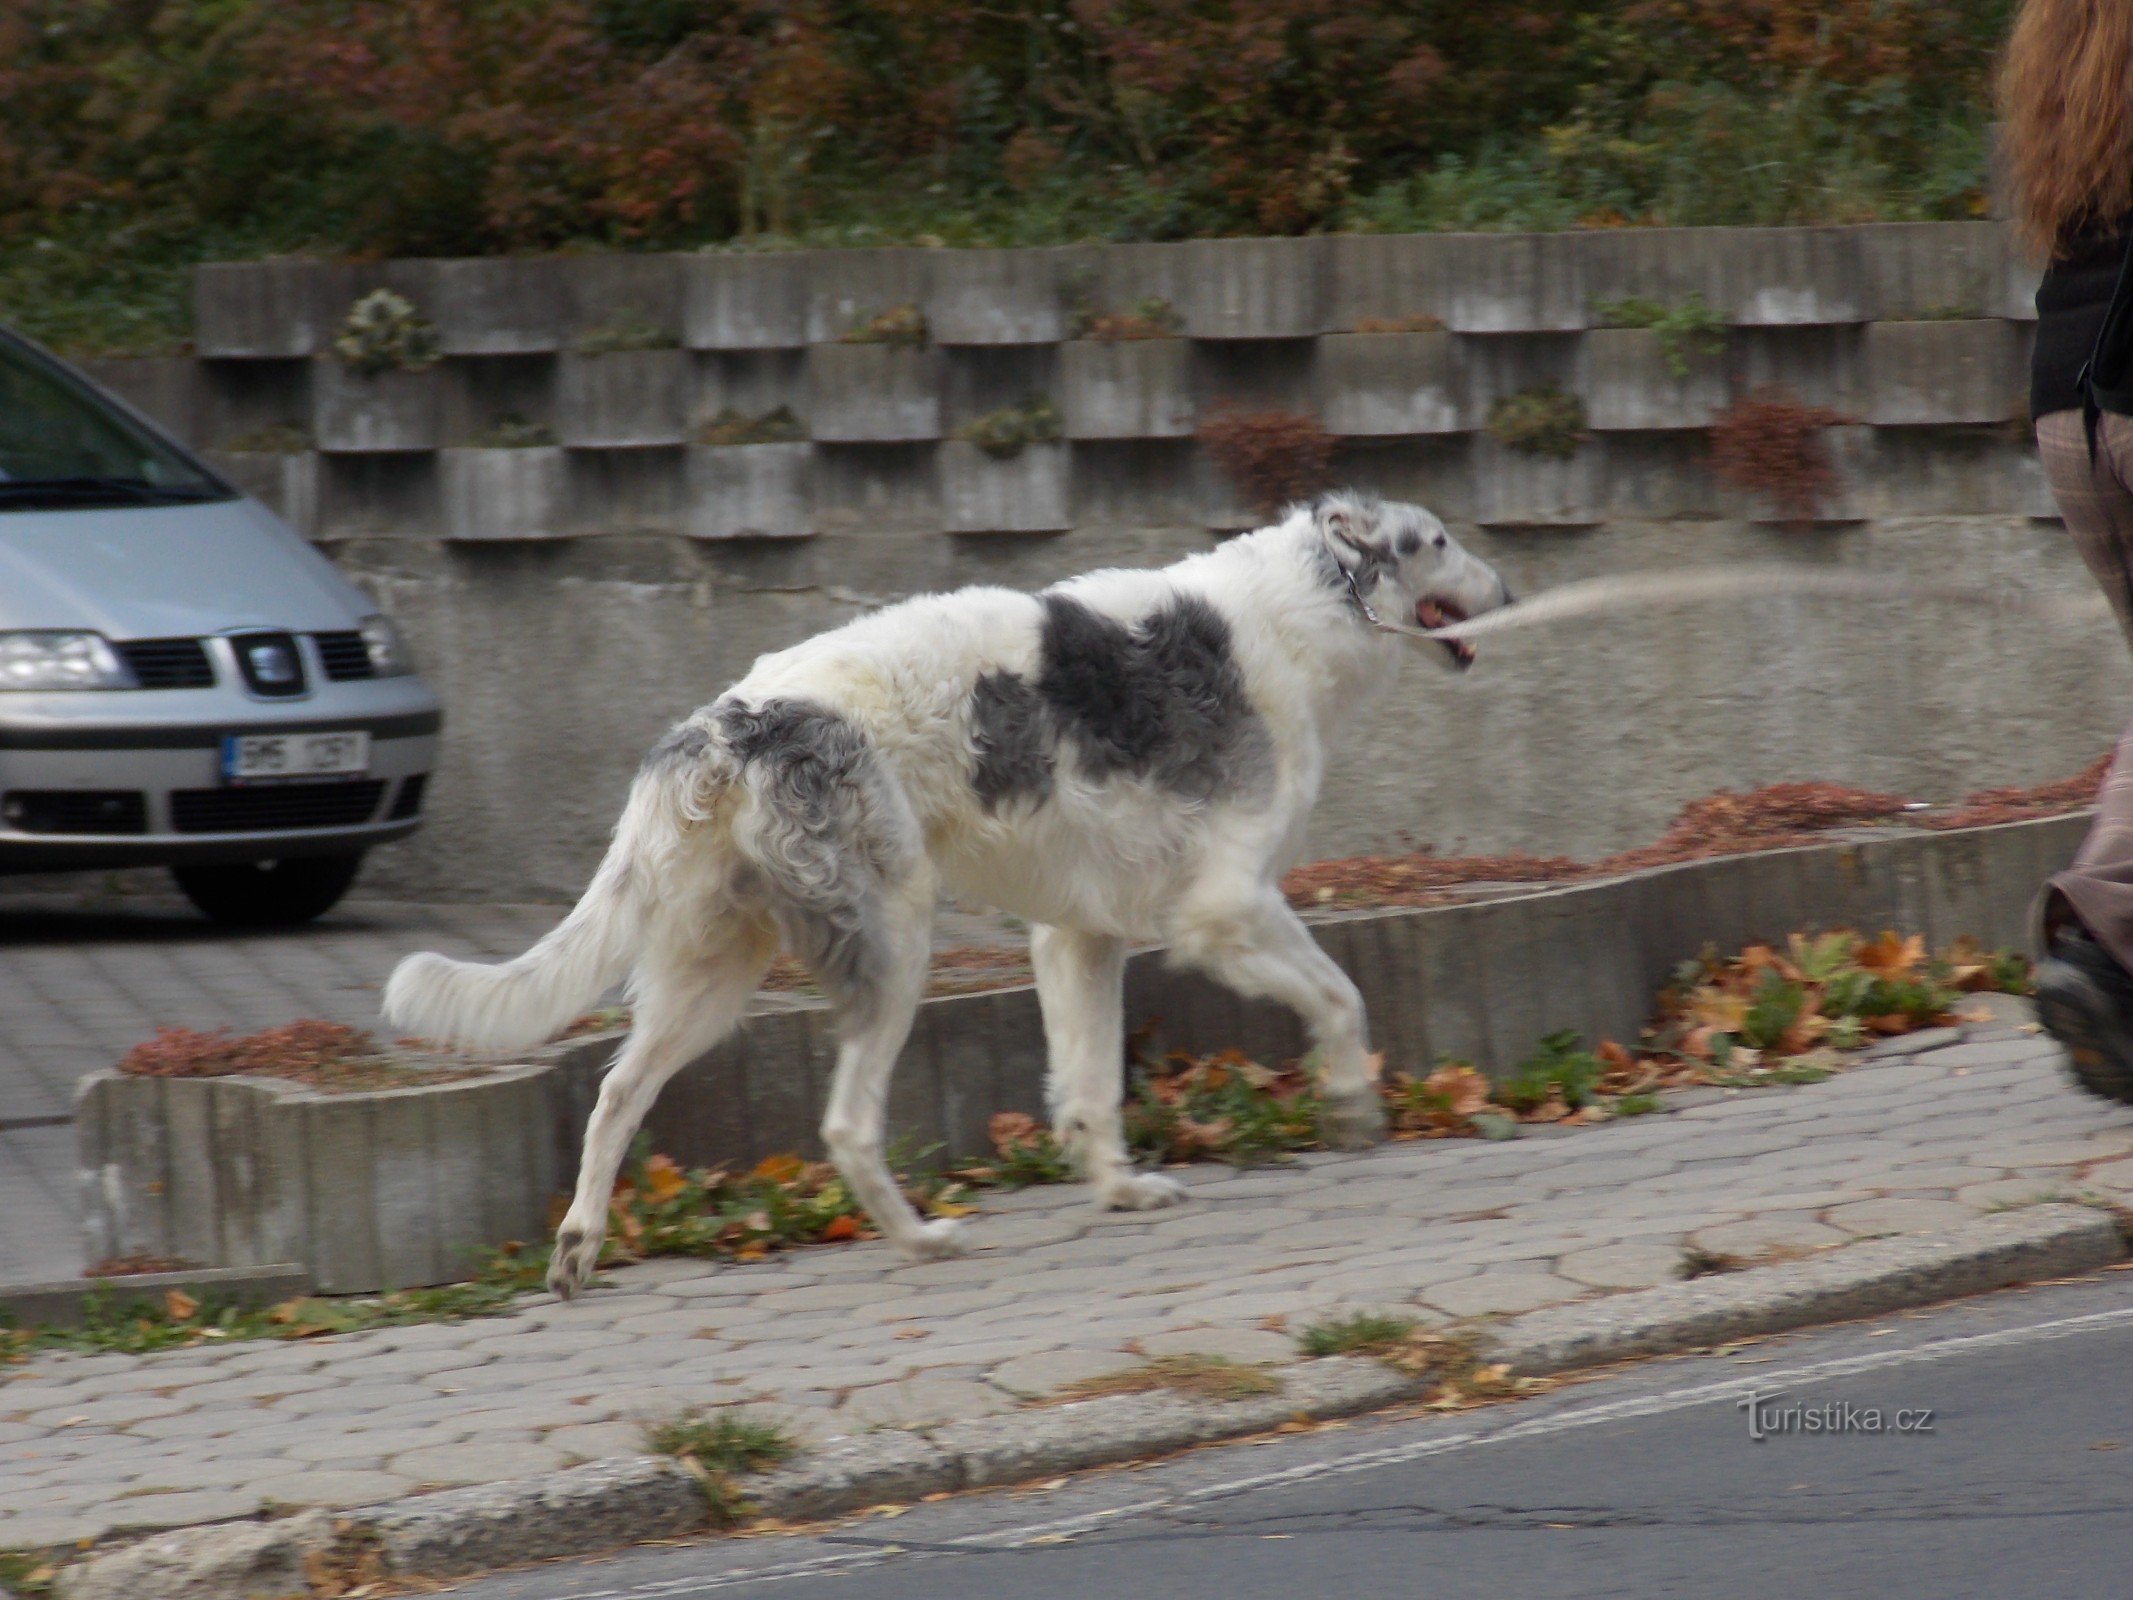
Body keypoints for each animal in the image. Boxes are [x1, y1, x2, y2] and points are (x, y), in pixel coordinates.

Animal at [388, 492, 1518, 1305]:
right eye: (1438, 540)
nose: (1512, 588)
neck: (1302, 604)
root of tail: (729, 722)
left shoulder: (1079, 936)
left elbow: (1089, 1091)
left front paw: (1120, 1189)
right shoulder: (1228, 907)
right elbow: (1342, 999)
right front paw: (1352, 1105)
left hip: (714, 974)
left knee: (617, 1095)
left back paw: (579, 1247)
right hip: (895, 947)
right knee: (845, 1125)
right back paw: (922, 1239)